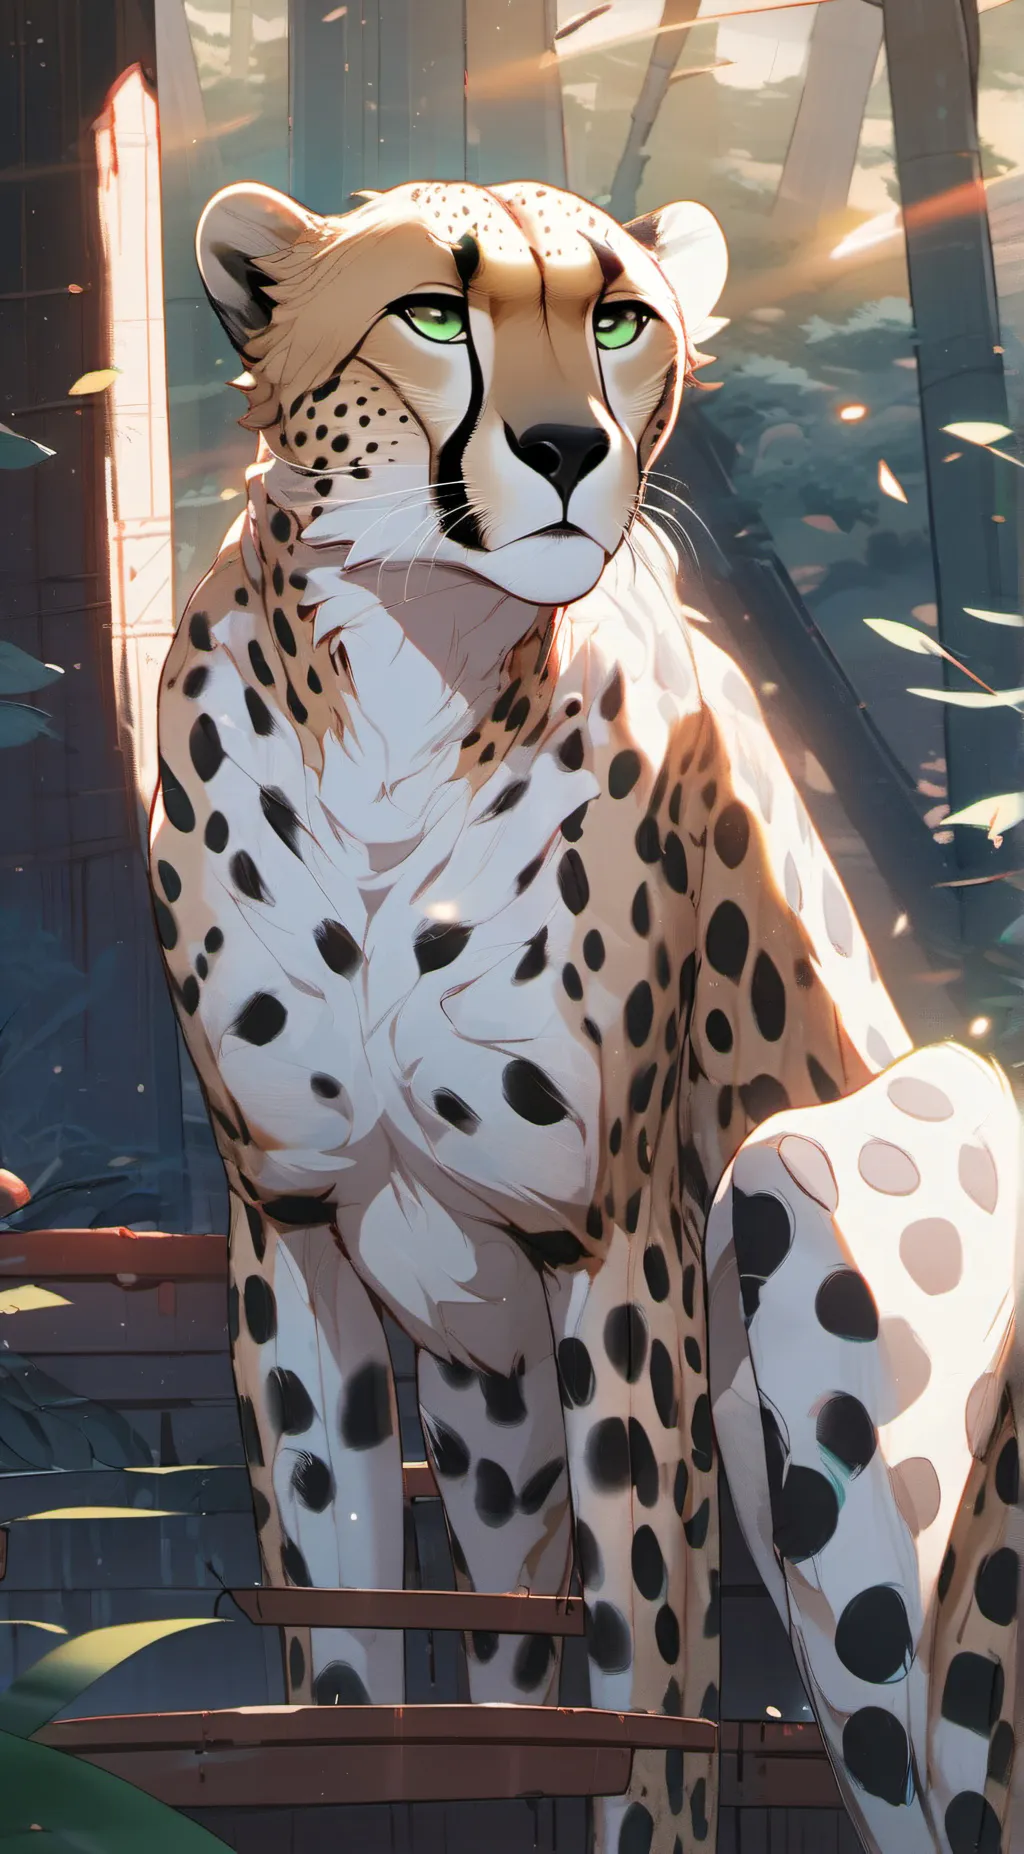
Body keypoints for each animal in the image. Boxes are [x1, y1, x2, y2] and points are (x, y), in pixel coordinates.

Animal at [149, 173, 1022, 1854]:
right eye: (435, 311)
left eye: (621, 320)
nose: (567, 449)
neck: (413, 675)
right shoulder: (291, 1233)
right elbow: (347, 1664)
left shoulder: (623, 1245)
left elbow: (653, 1695)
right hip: (494, 1434)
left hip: (805, 1216)